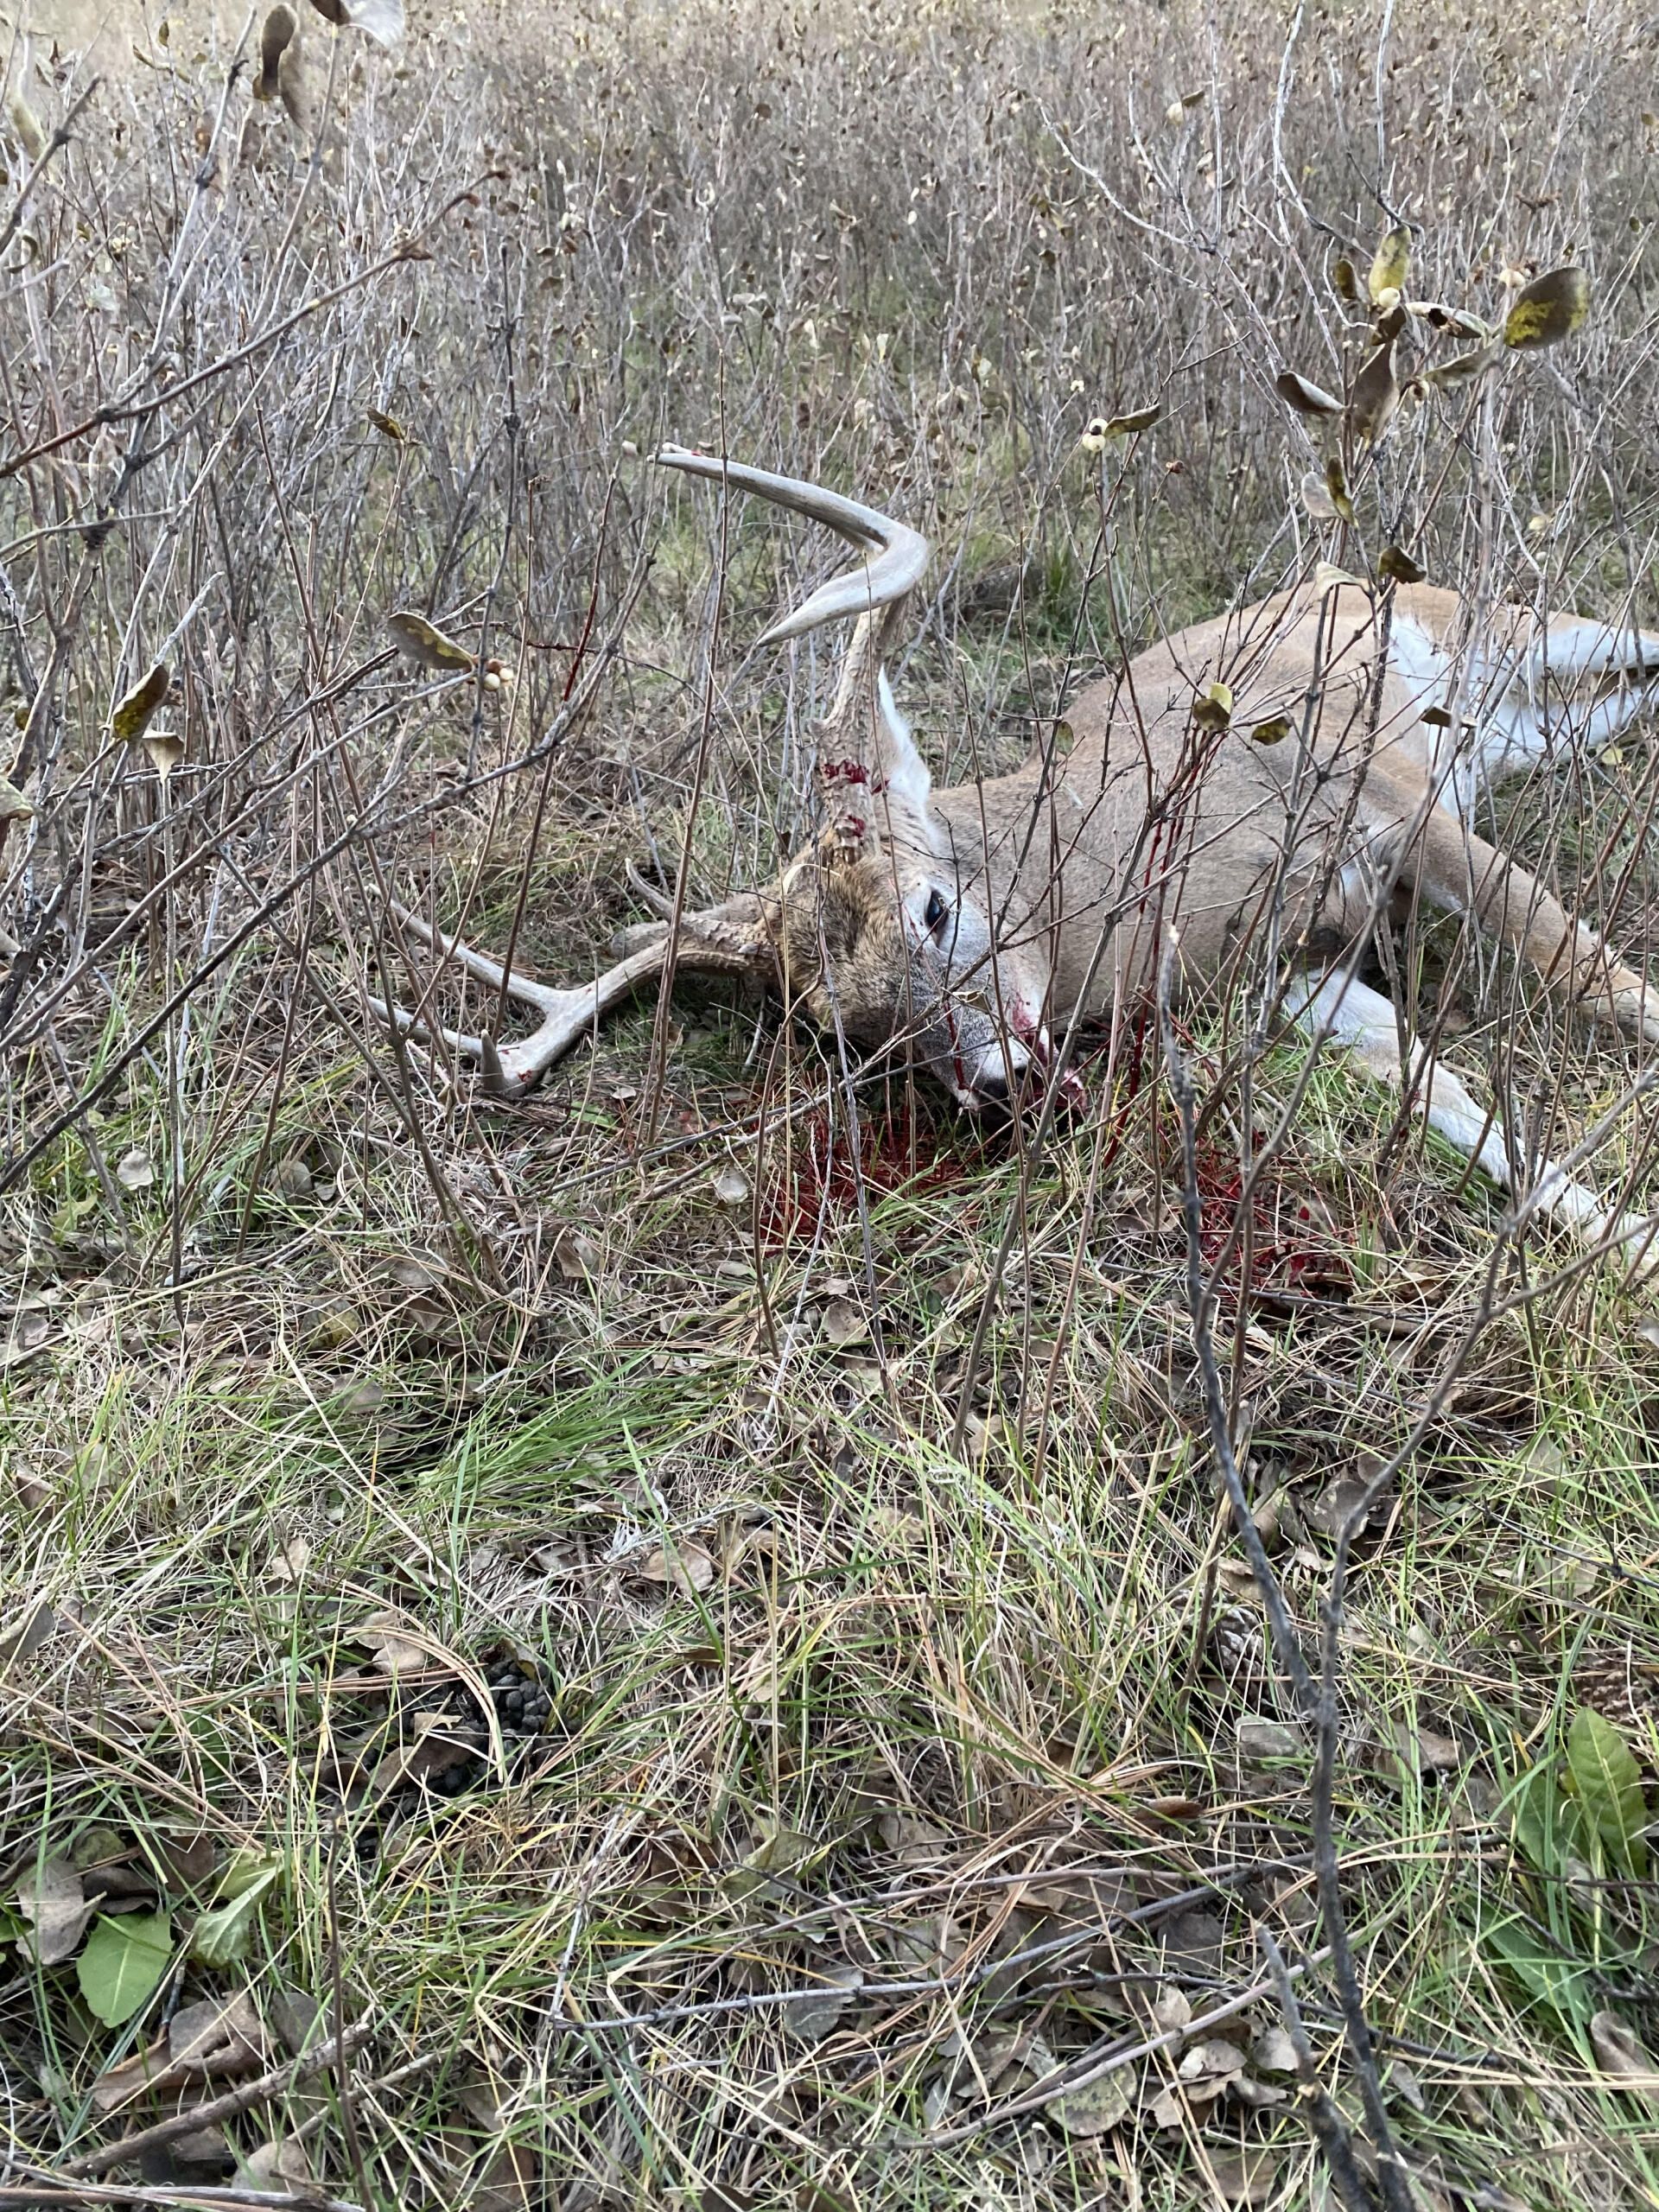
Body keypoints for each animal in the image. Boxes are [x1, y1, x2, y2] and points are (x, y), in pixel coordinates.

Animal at [375, 446, 1659, 1264]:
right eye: (849, 1036)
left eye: (936, 907)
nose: (997, 1086)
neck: (1123, 885)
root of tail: (1343, 570)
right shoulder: (1285, 975)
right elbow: (1463, 1111)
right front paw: (1627, 1242)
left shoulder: (1392, 801)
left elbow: (1596, 971)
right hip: (1519, 727)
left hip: (1499, 633)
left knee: (1624, 639)